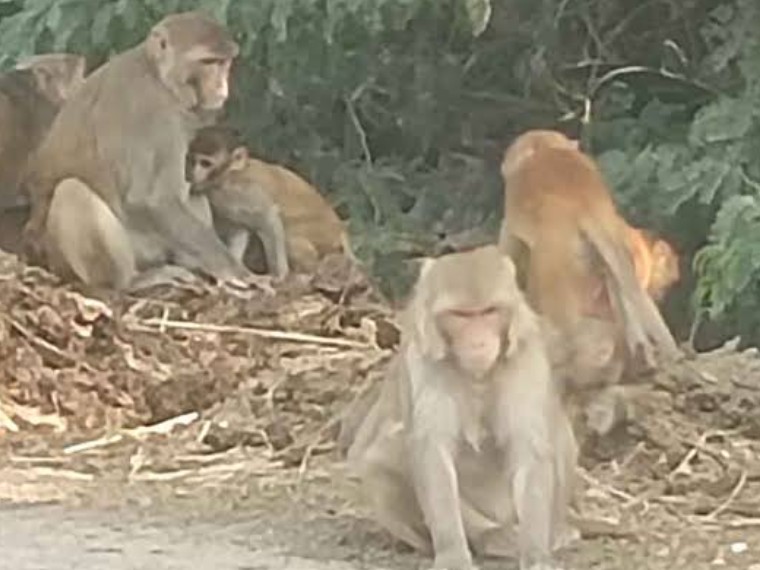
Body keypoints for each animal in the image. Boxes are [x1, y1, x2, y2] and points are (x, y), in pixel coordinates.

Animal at [21, 12, 260, 291]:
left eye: (225, 62)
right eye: (208, 62)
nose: (222, 85)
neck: (155, 73)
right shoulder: (155, 113)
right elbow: (152, 199)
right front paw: (236, 272)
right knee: (71, 190)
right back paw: (130, 281)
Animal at [185, 125, 347, 274]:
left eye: (205, 163)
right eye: (193, 161)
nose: (193, 174)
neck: (231, 174)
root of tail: (340, 231)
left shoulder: (242, 192)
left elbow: (269, 218)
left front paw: (279, 275)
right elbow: (240, 228)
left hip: (323, 235)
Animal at [344, 245, 577, 570]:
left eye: (489, 311)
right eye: (461, 315)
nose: (478, 343)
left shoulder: (524, 358)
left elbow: (529, 450)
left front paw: (535, 556)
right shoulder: (425, 362)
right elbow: (432, 452)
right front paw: (453, 553)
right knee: (382, 458)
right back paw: (485, 538)